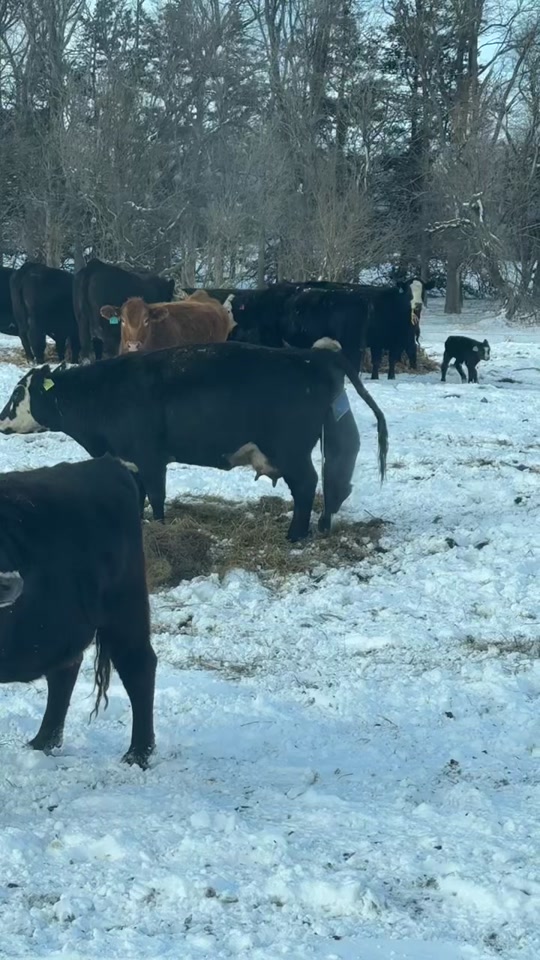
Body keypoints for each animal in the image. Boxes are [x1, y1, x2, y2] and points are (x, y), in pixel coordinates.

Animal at [0, 339, 388, 543]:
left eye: (18, 392)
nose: (2, 419)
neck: (103, 393)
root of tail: (310, 356)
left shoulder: (150, 457)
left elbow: (156, 497)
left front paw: (159, 528)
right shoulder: (130, 461)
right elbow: (138, 496)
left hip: (291, 452)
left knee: (307, 486)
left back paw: (295, 535)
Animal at [0, 455, 156, 767]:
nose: (9, 582)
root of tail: (107, 463)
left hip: (125, 609)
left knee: (139, 665)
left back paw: (137, 754)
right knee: (65, 668)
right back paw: (43, 742)